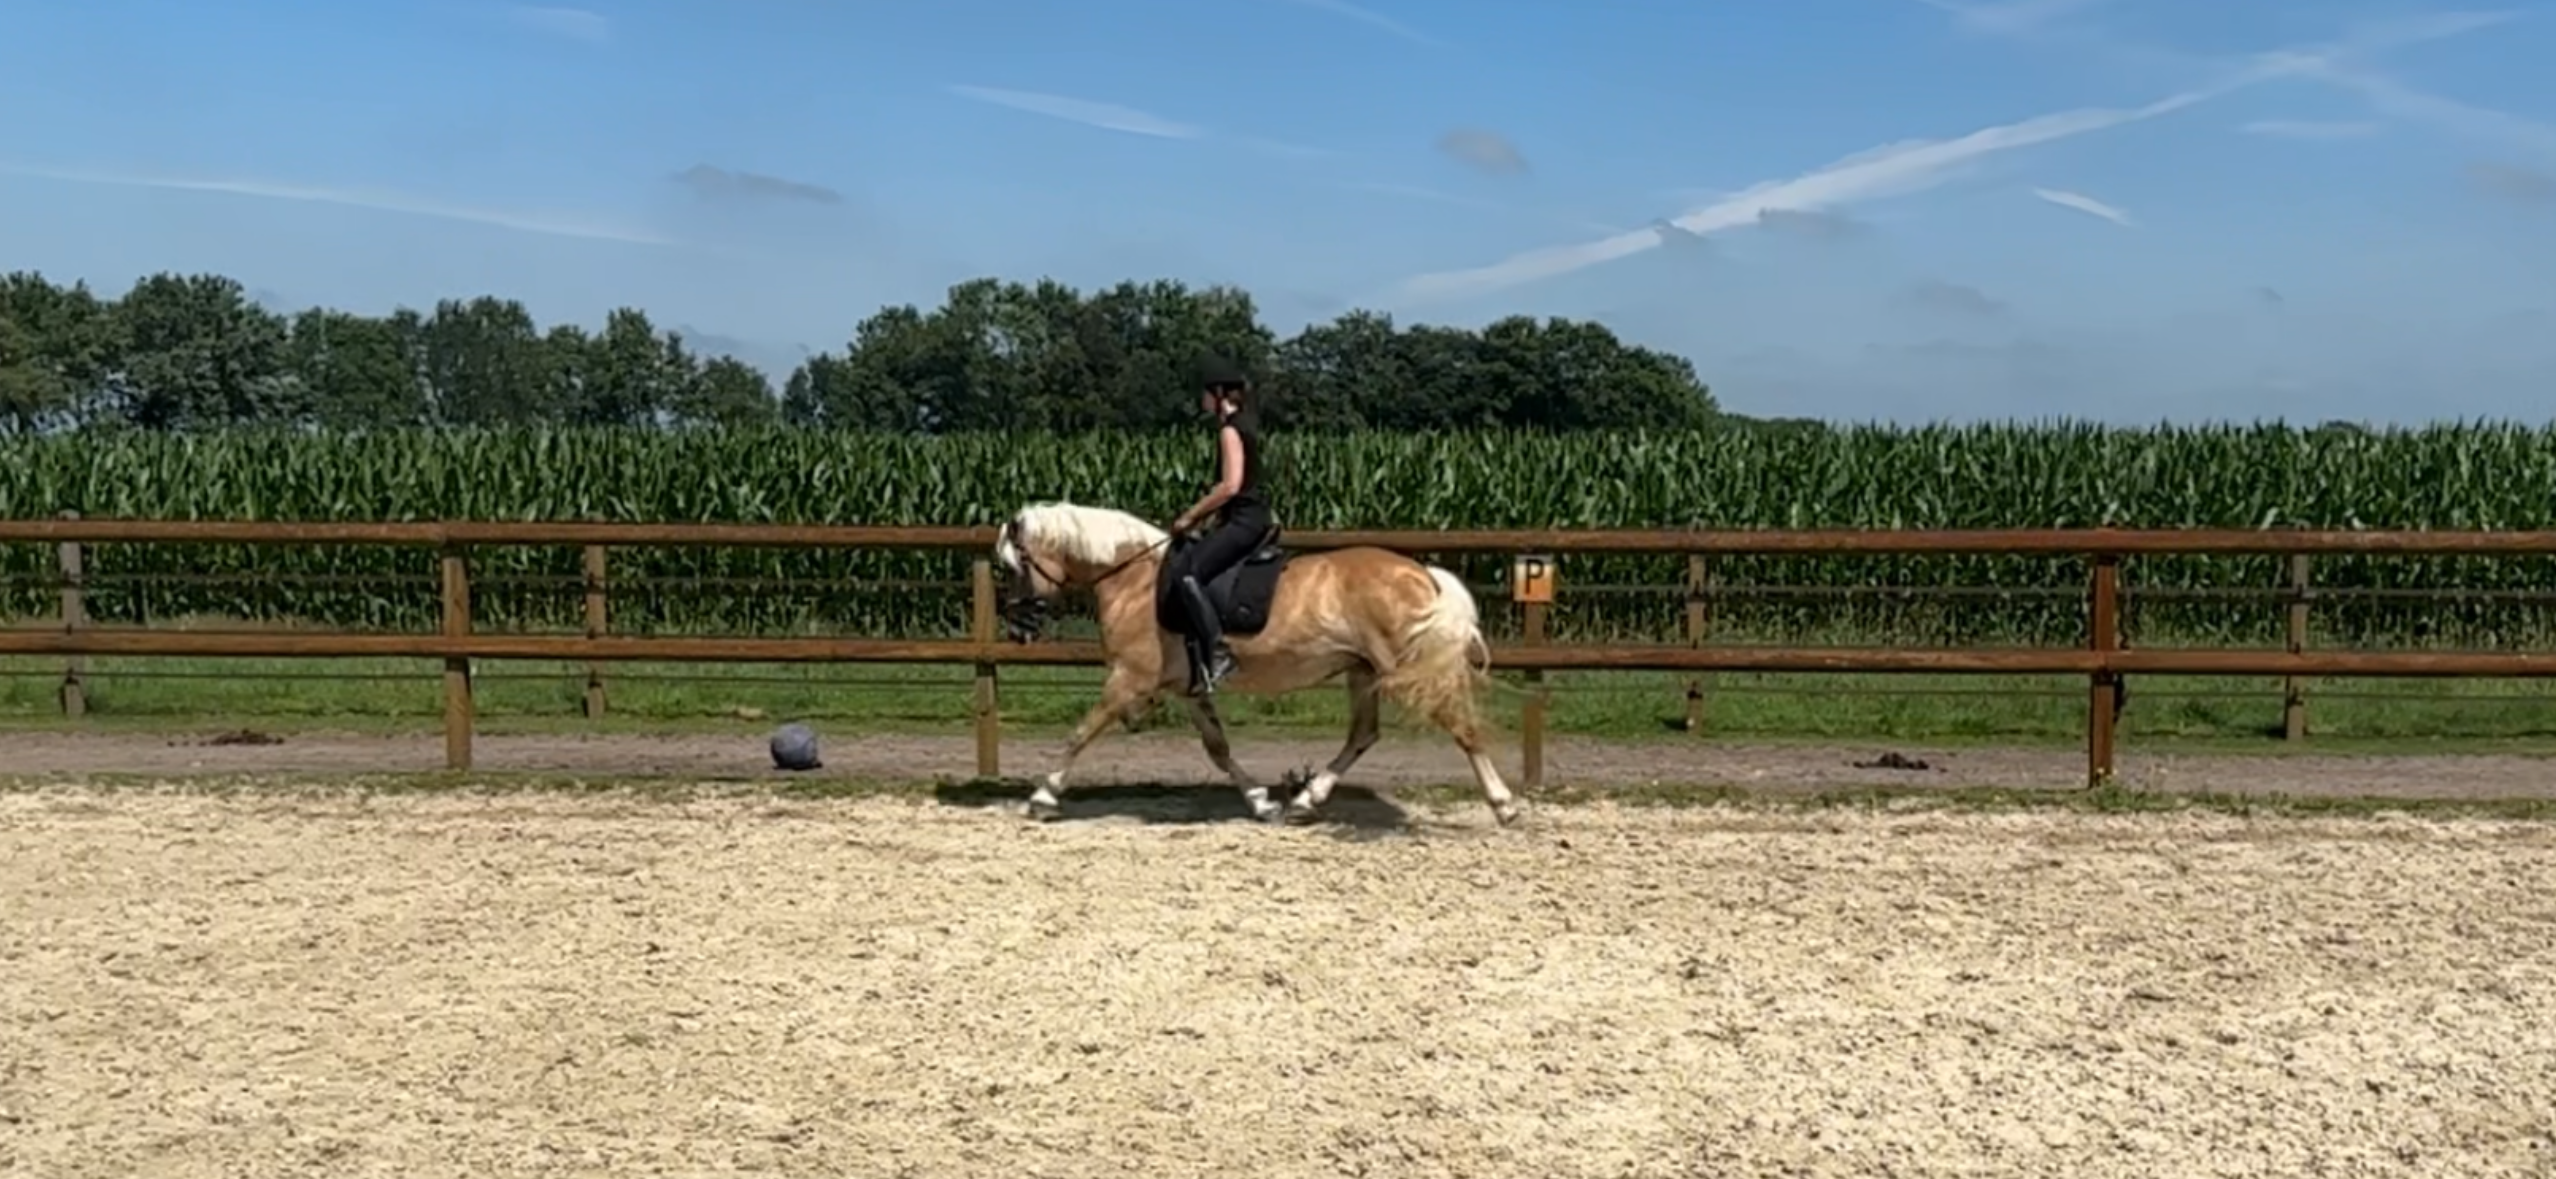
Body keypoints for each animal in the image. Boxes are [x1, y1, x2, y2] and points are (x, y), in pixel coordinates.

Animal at [991, 500, 1522, 827]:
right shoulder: (1189, 688)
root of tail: (1420, 574)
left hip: (1401, 670)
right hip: (1362, 670)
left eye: (1012, 567)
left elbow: (1082, 732)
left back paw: (1504, 805)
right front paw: (1262, 802)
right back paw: (1306, 801)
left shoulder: (1129, 680)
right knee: (1363, 735)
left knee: (1461, 725)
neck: (1133, 579)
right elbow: (1218, 749)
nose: (1017, 629)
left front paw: (1042, 797)